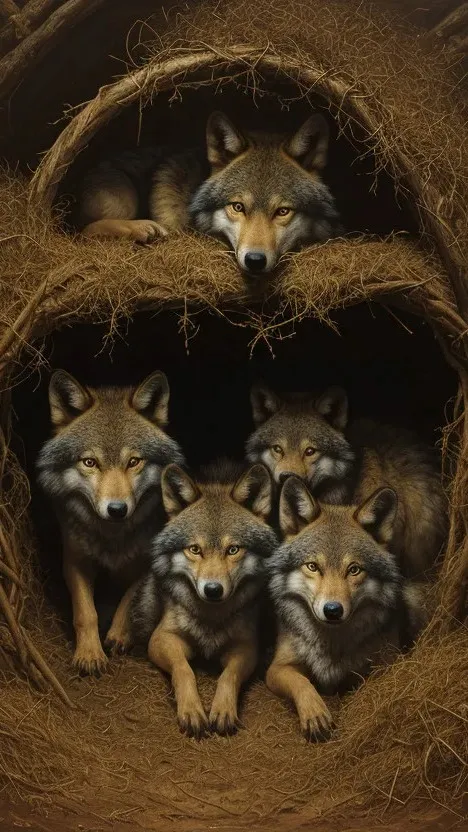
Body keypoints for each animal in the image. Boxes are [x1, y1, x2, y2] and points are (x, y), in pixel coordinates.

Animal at [36, 369, 184, 676]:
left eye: (134, 461)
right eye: (90, 462)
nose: (117, 509)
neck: (113, 537)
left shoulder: (151, 561)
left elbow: (129, 599)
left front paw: (118, 634)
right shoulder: (74, 560)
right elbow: (85, 612)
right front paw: (89, 654)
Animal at [78, 110, 341, 275]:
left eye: (283, 211)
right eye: (238, 207)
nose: (255, 261)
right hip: (125, 199)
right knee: (83, 232)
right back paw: (142, 229)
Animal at [130, 460, 278, 737]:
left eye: (233, 550)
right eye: (195, 549)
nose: (213, 589)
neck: (211, 618)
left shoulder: (245, 646)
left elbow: (228, 675)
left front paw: (222, 710)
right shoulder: (161, 638)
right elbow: (184, 669)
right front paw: (192, 711)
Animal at [266, 476, 431, 741]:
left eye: (354, 569)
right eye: (313, 566)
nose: (333, 610)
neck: (331, 642)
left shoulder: (387, 661)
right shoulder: (277, 668)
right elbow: (302, 683)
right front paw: (315, 714)